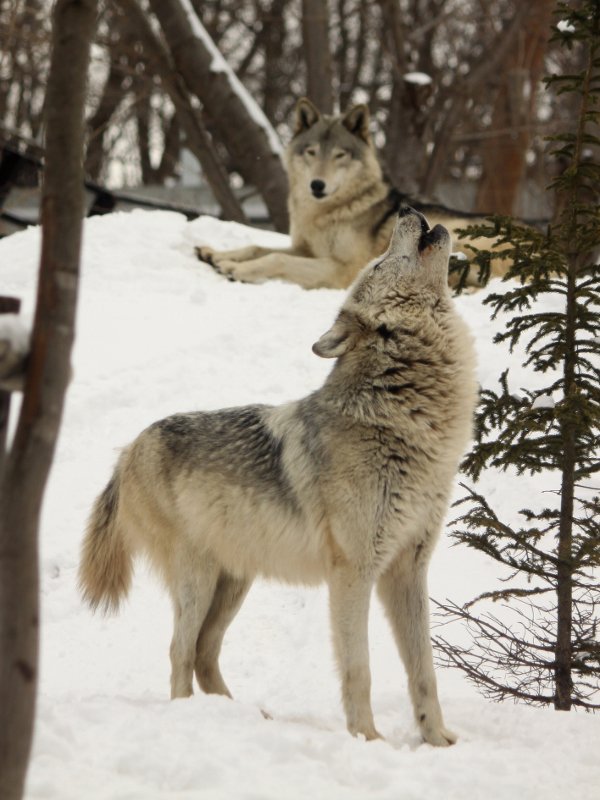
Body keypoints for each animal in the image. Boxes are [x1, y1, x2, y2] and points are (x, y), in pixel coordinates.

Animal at [79, 209, 478, 748]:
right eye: (378, 262)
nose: (409, 213)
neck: (401, 418)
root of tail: (127, 450)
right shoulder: (353, 572)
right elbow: (360, 669)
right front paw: (368, 740)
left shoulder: (408, 569)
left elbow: (424, 669)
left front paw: (438, 741)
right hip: (198, 579)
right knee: (180, 651)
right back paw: (191, 719)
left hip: (234, 583)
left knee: (204, 652)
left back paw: (247, 717)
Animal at [197, 96, 506, 290]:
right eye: (311, 152)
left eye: (339, 155)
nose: (317, 185)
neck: (326, 213)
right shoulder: (306, 249)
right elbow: (257, 247)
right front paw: (215, 254)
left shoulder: (343, 268)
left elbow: (277, 258)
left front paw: (236, 269)